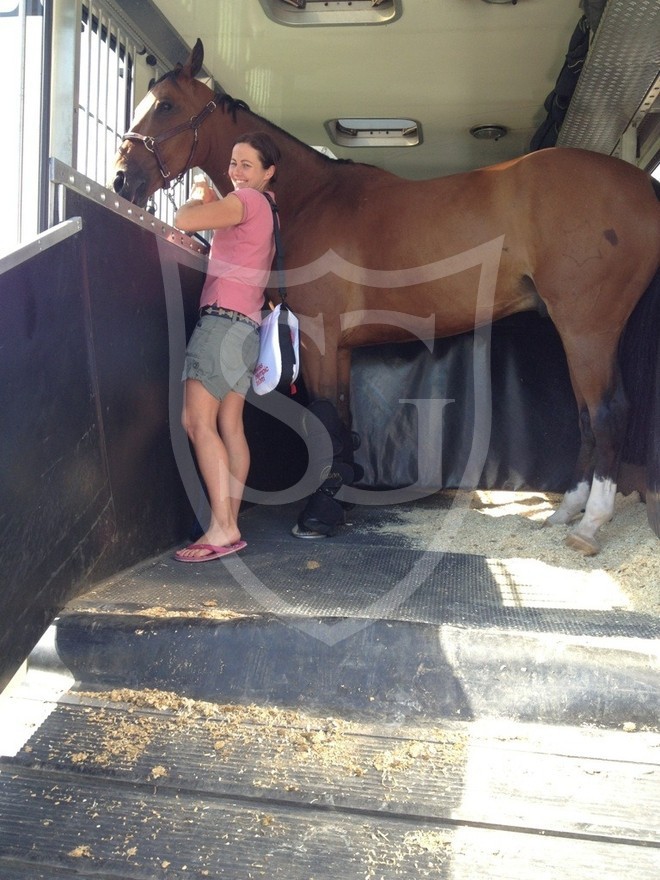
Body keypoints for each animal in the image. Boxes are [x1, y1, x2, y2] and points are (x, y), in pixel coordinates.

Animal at [112, 39, 660, 556]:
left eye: (165, 106)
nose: (122, 179)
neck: (311, 200)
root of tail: (642, 187)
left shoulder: (318, 337)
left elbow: (325, 419)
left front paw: (318, 515)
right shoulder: (339, 347)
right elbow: (344, 421)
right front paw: (341, 499)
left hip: (586, 326)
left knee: (607, 411)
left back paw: (590, 525)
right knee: (586, 415)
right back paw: (566, 511)